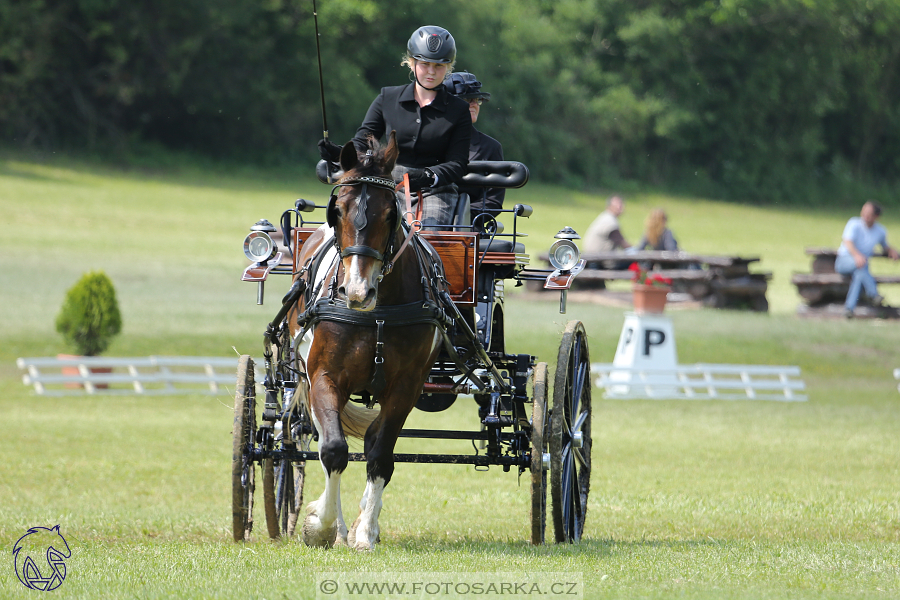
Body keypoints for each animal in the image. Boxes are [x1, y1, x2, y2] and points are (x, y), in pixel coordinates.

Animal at [290, 134, 448, 552]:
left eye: (390, 214)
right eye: (337, 211)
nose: (357, 291)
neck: (374, 313)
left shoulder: (406, 387)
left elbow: (379, 455)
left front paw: (364, 532)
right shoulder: (324, 376)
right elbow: (333, 450)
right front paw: (321, 526)